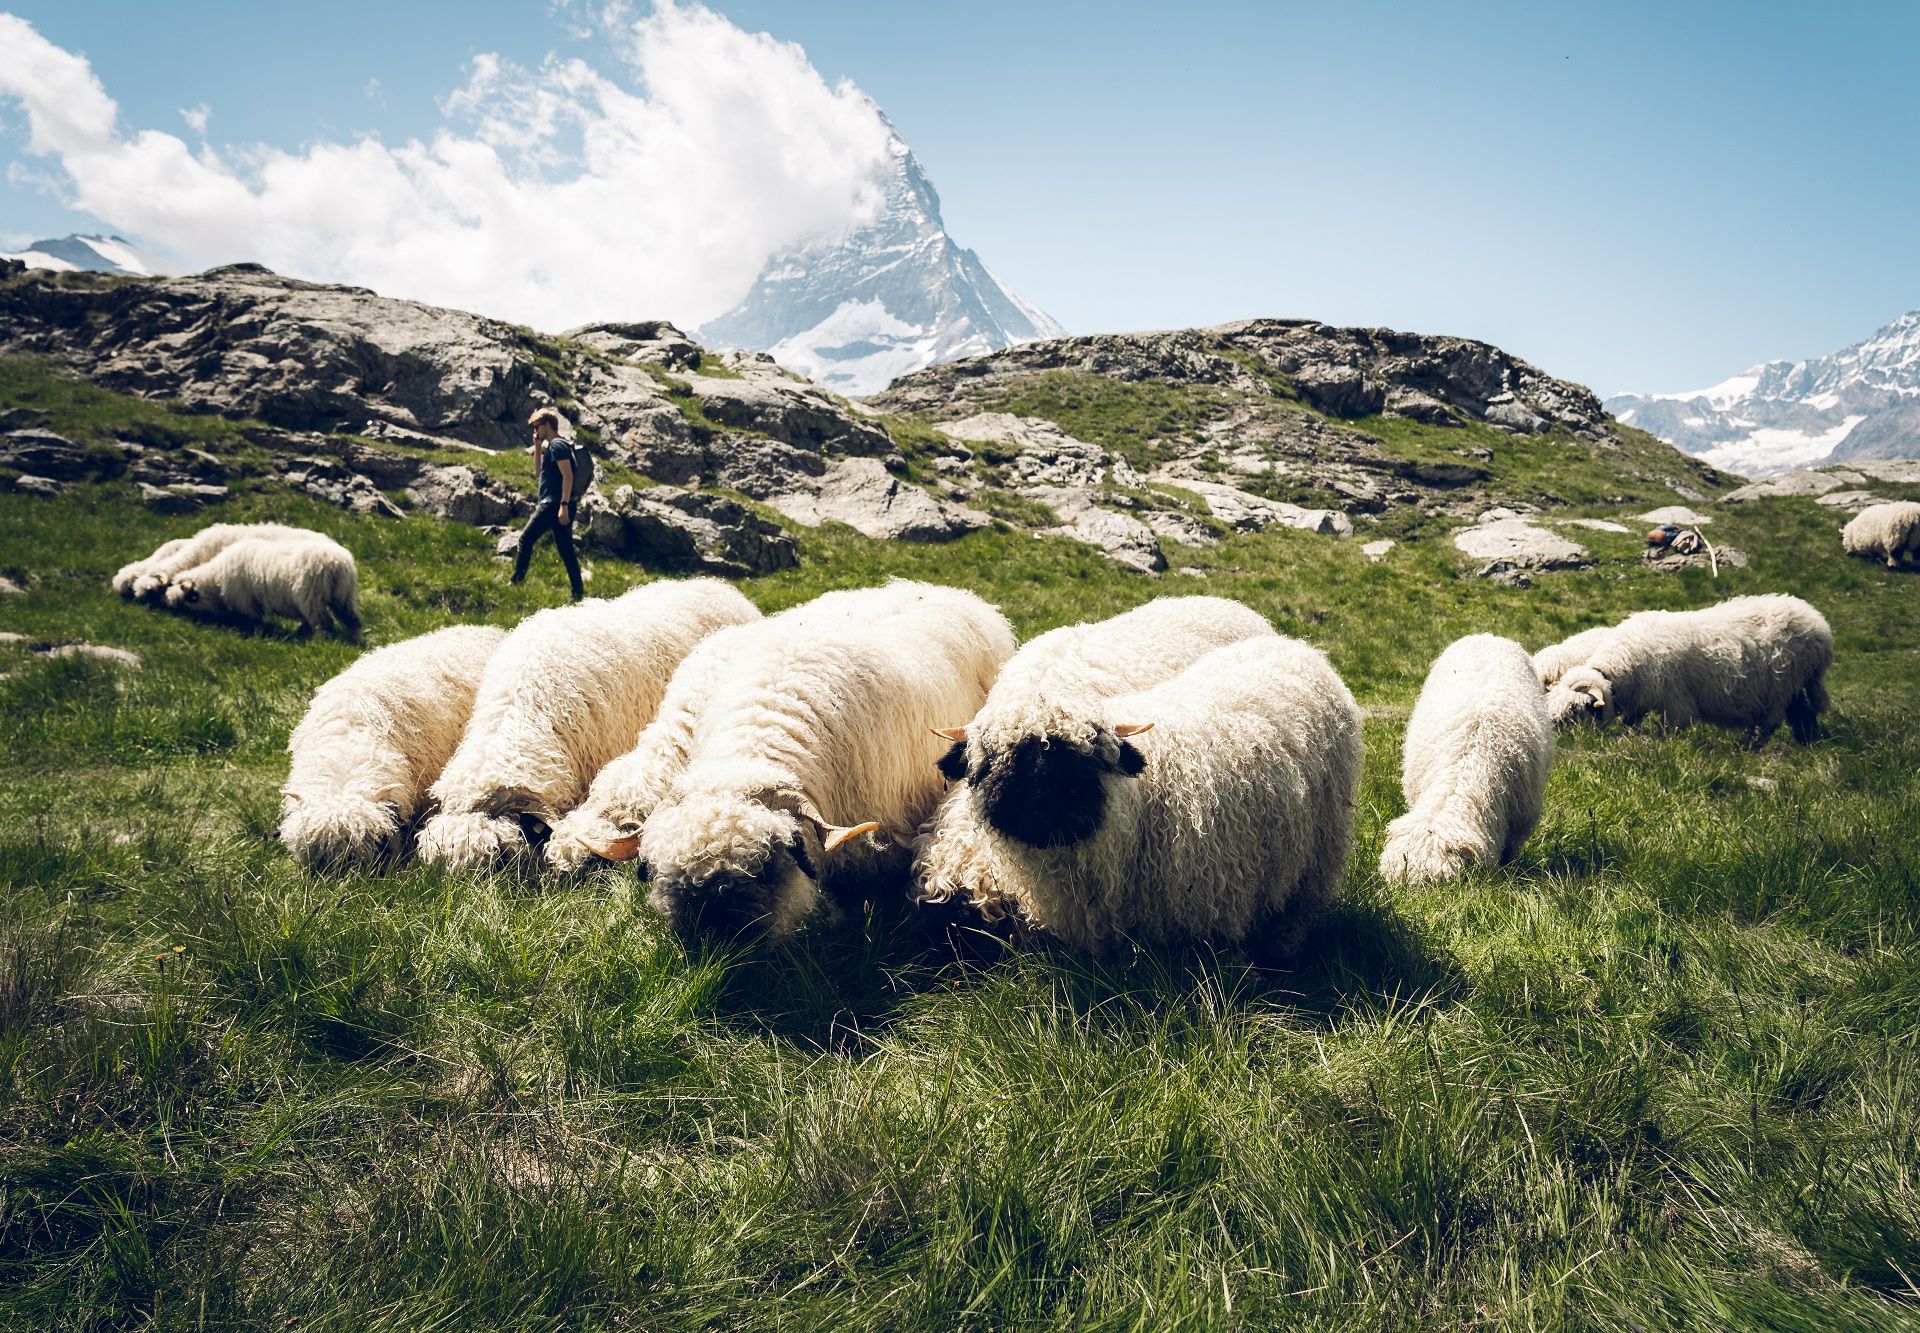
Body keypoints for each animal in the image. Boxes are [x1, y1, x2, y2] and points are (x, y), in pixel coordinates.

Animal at [162, 534, 361, 640]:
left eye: (181, 591)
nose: (167, 600)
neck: (215, 580)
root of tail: (338, 563)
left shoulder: (246, 602)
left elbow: (254, 621)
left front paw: (256, 635)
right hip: (344, 595)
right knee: (352, 618)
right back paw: (357, 640)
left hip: (311, 597)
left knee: (323, 622)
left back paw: (323, 641)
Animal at [1547, 593, 1832, 745]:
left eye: (1574, 711)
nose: (1554, 737)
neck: (1626, 662)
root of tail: (1821, 628)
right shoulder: (1642, 697)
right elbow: (1631, 721)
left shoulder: (1675, 700)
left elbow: (1671, 728)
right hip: (1796, 685)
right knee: (1803, 713)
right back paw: (1806, 743)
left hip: (1782, 684)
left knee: (1771, 722)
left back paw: (1749, 747)